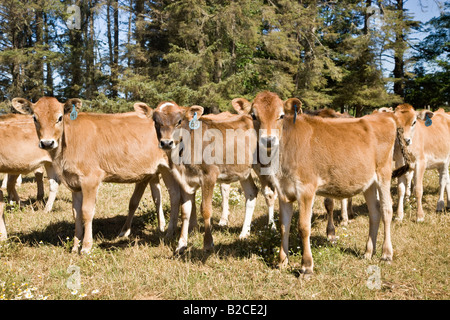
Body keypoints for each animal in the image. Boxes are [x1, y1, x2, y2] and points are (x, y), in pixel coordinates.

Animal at [12, 96, 181, 254]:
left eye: (59, 117)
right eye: (35, 118)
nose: (47, 143)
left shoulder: (90, 178)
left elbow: (87, 212)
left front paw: (86, 247)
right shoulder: (75, 184)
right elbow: (76, 213)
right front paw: (75, 246)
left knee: (174, 196)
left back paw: (169, 233)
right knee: (165, 195)